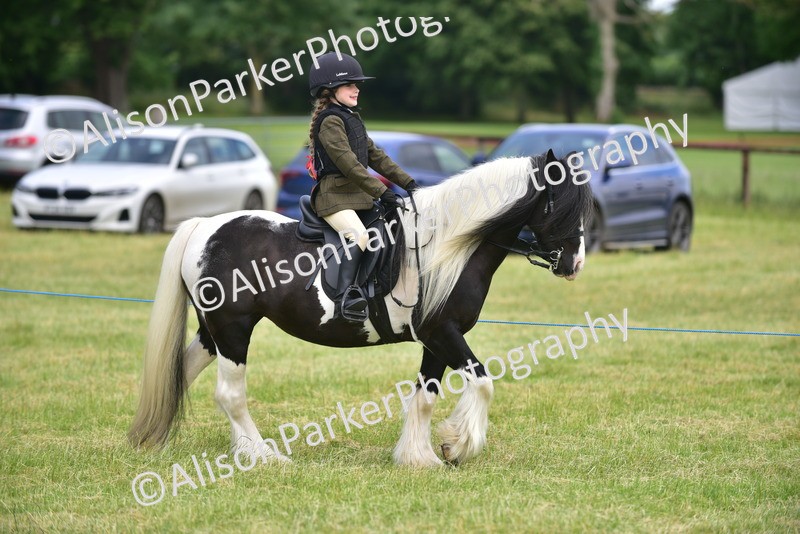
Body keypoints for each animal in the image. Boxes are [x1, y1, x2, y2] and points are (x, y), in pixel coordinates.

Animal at [128, 149, 593, 467]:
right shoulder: (443, 333)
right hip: (233, 330)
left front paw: (419, 458)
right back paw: (264, 456)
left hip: (213, 334)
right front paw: (456, 445)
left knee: (183, 374)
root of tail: (204, 227)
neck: (450, 245)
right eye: (558, 204)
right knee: (230, 394)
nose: (574, 265)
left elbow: (425, 397)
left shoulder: (436, 339)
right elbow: (482, 383)